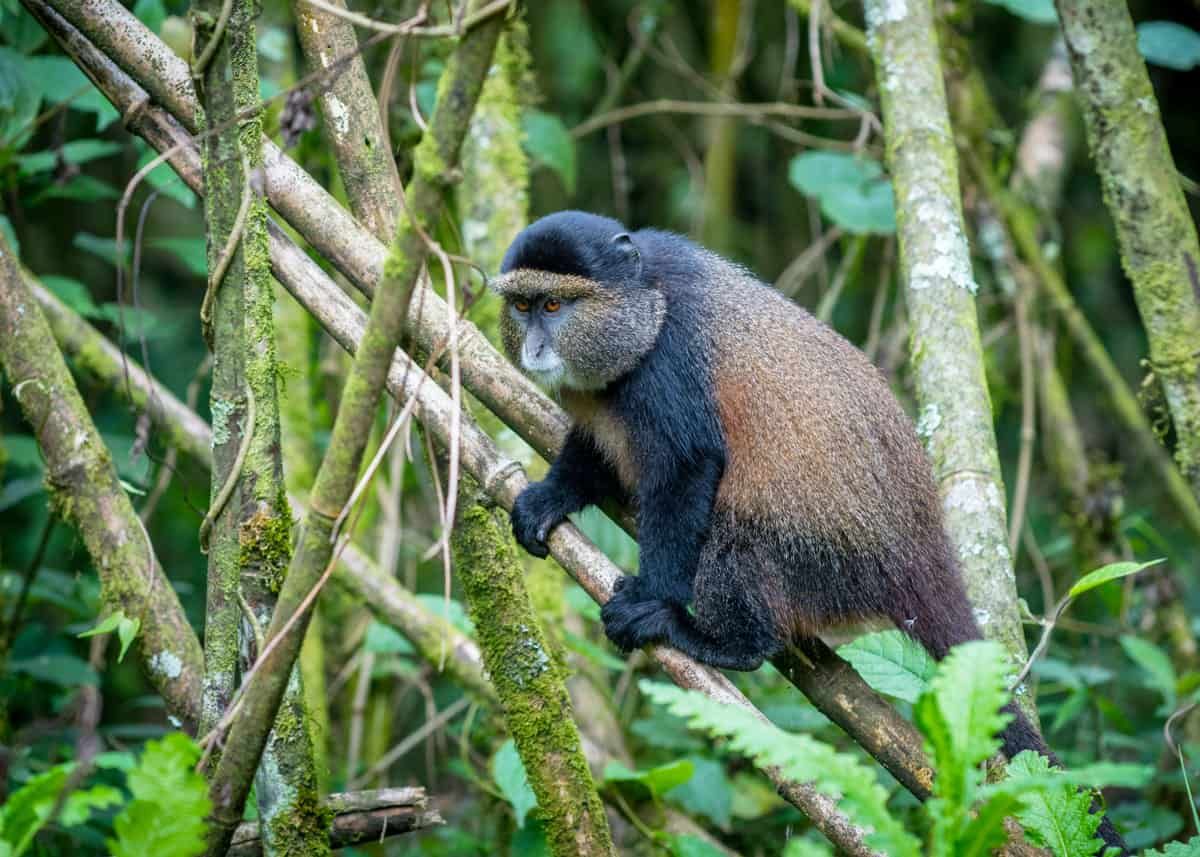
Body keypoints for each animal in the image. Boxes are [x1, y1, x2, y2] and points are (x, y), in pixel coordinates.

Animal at [493, 211, 1125, 853]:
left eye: (553, 305)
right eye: (522, 306)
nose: (536, 348)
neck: (646, 300)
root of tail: (920, 555)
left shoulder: (669, 369)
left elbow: (688, 467)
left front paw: (654, 598)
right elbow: (591, 450)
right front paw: (548, 497)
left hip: (824, 562)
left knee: (737, 544)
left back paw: (719, 639)